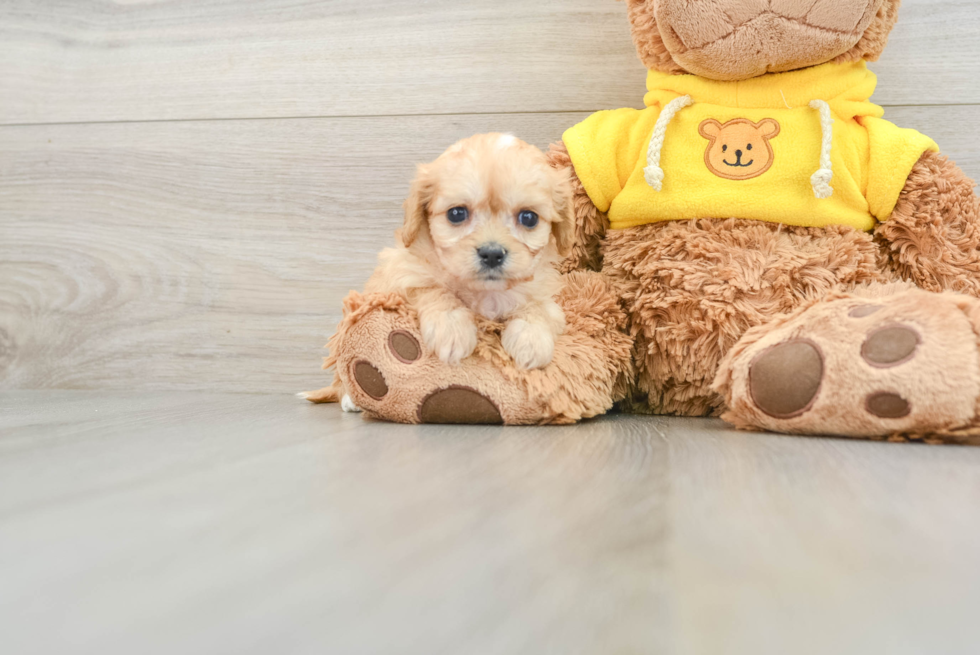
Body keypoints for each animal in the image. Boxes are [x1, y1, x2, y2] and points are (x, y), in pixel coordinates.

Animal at [366, 133, 576, 368]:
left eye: (529, 218)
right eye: (456, 213)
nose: (492, 254)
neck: (486, 293)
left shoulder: (545, 295)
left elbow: (539, 306)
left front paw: (531, 339)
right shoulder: (399, 273)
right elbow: (431, 287)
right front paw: (451, 328)